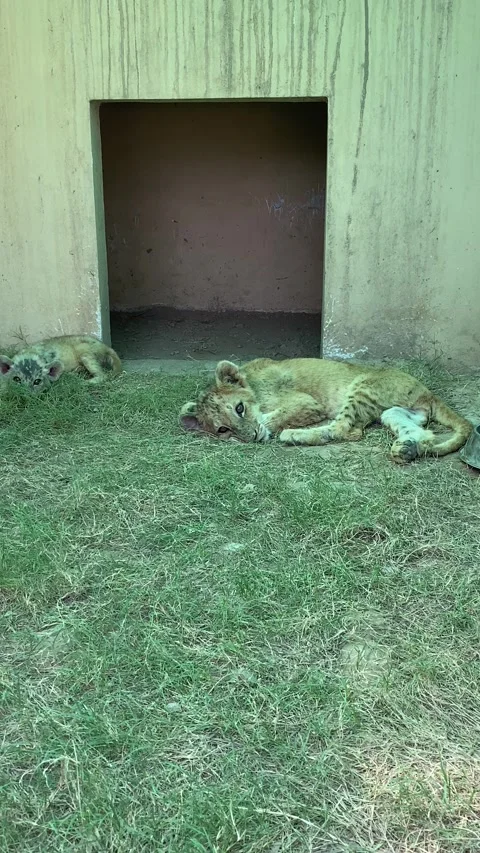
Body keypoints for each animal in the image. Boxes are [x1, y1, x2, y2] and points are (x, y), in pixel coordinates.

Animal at [179, 357, 472, 464]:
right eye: (222, 429)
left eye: (239, 408)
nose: (250, 437)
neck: (252, 381)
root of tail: (427, 392)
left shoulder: (307, 403)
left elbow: (272, 418)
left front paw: (266, 428)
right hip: (394, 412)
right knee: (423, 434)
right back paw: (408, 449)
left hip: (363, 386)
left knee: (345, 429)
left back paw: (294, 436)